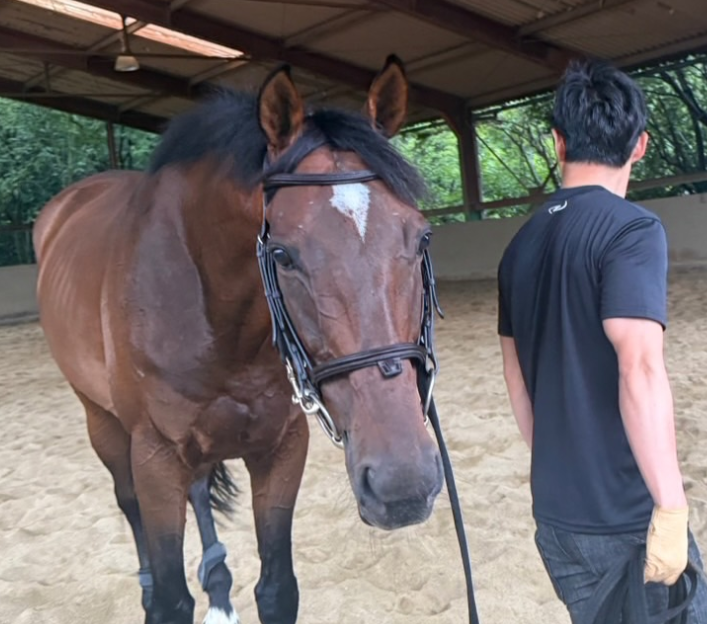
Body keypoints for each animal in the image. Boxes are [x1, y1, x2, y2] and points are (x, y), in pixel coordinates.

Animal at [33, 55, 446, 624]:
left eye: (422, 237)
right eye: (283, 255)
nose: (402, 484)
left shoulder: (281, 446)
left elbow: (277, 589)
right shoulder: (155, 457)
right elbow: (171, 599)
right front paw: (170, 591)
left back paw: (220, 586)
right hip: (103, 421)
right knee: (127, 499)